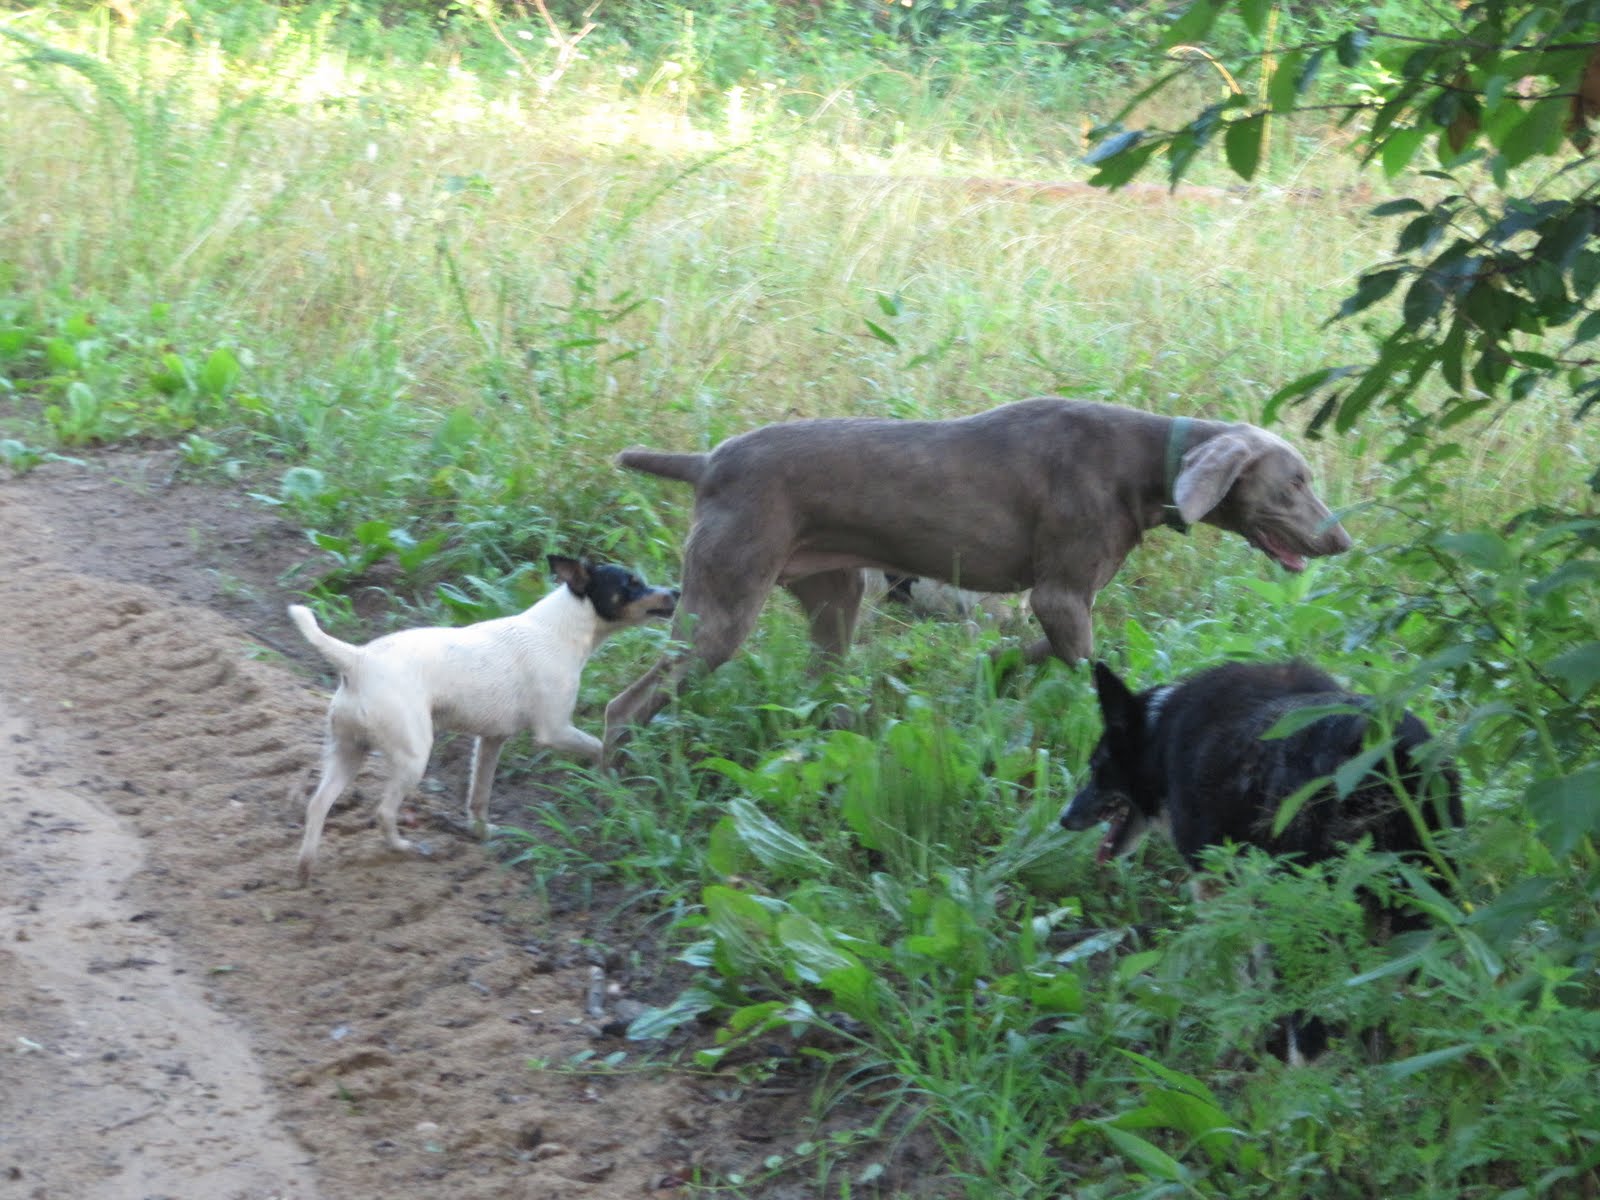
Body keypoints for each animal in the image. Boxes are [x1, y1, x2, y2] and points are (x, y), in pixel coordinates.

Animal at [288, 555, 677, 883]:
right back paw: (404, 848)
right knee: (383, 811)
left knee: (318, 804)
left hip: (347, 752)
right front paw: (607, 781)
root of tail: (357, 660)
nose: (676, 591)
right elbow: (598, 746)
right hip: (413, 756)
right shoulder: (554, 730)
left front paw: (481, 832)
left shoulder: (491, 739)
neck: (560, 629)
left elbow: (480, 794)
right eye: (631, 583)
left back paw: (306, 867)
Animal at [603, 398, 1351, 759]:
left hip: (833, 598)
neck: (1146, 459)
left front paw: (993, 673)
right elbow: (1089, 664)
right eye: (1296, 482)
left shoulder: (1055, 604)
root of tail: (706, 461)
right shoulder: (1061, 594)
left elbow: (1034, 649)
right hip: (724, 606)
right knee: (624, 705)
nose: (1342, 540)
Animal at [1061, 659, 1463, 1059]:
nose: (1064, 818)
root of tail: (1384, 750)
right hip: (1419, 907)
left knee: (1312, 1029)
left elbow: (1240, 977)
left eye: (1096, 767)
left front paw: (1237, 1043)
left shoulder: (1222, 887)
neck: (1157, 736)